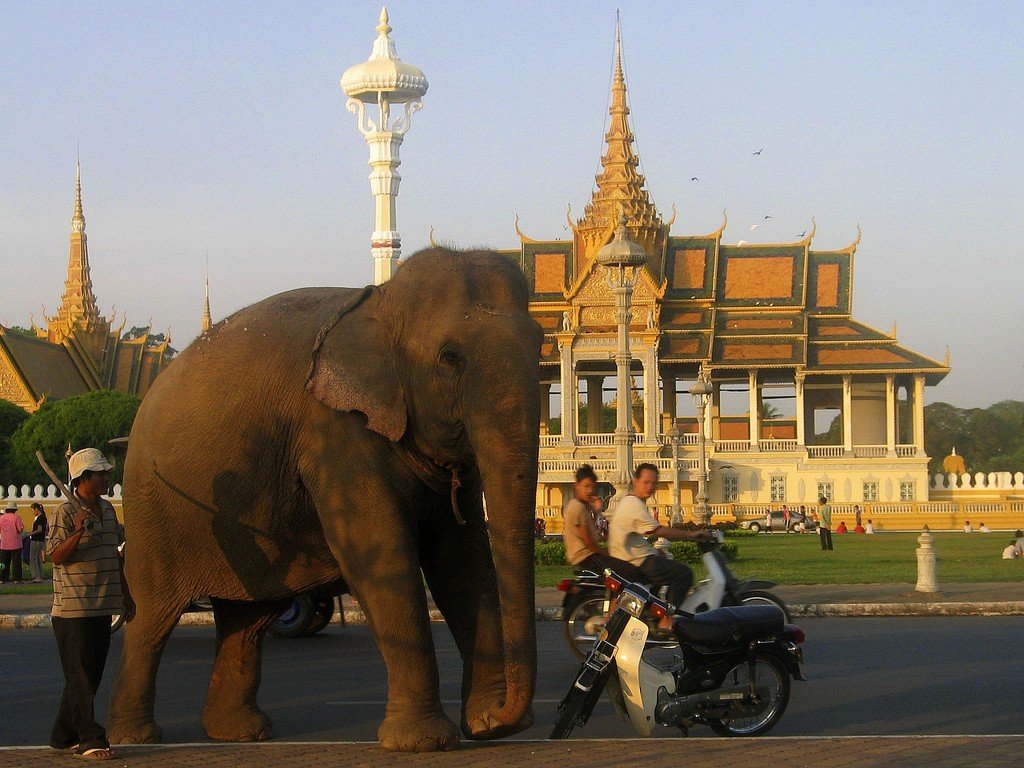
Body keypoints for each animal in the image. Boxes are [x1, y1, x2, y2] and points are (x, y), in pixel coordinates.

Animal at [105, 247, 544, 753]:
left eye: (540, 346)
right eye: (449, 359)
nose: (503, 717)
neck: (382, 303)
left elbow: (464, 561)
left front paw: (484, 725)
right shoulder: (331, 429)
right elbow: (383, 554)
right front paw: (424, 742)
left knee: (246, 617)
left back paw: (241, 732)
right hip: (151, 505)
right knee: (151, 617)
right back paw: (134, 738)